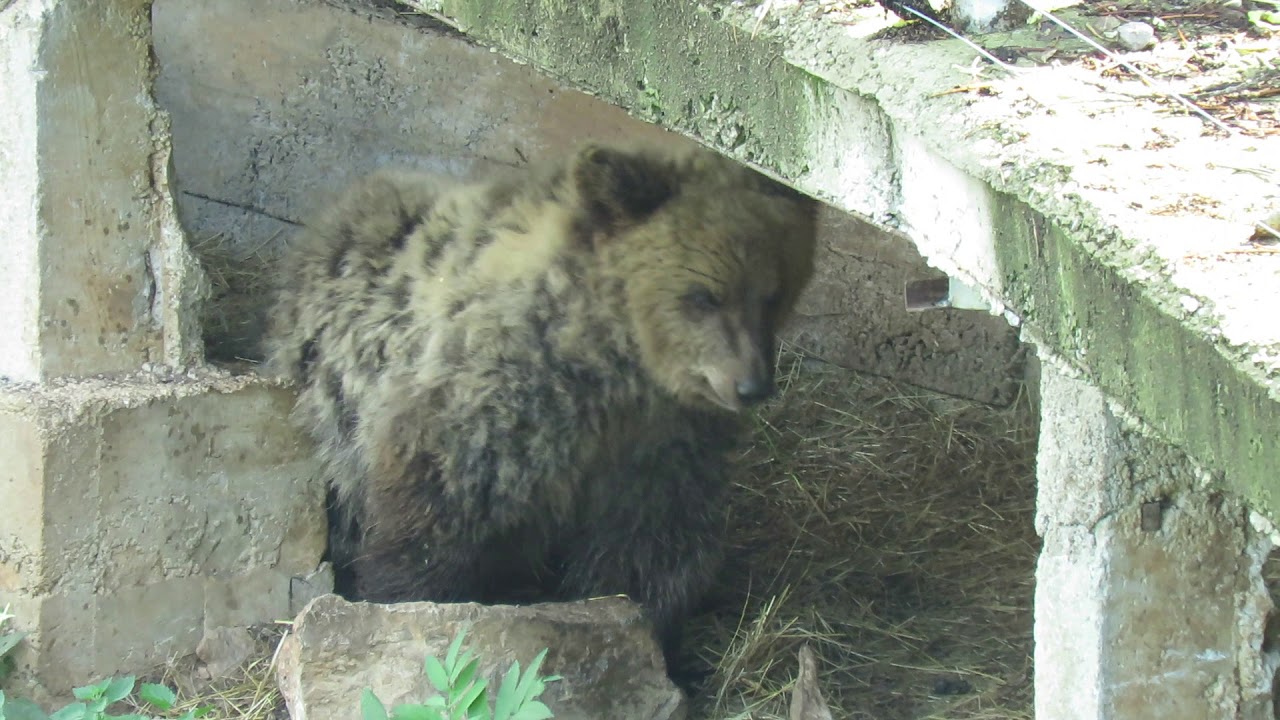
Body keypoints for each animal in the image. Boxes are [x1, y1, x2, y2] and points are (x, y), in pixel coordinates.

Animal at [263, 142, 818, 669]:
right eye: (704, 295)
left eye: (773, 293)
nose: (750, 384)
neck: (616, 366)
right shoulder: (496, 408)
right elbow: (433, 515)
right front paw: (407, 605)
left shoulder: (664, 441)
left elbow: (651, 545)